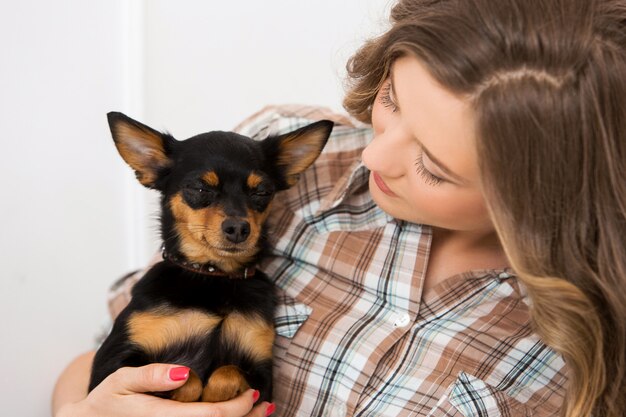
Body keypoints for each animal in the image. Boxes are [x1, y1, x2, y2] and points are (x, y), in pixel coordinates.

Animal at [89, 111, 332, 404]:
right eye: (200, 189)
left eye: (262, 193)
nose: (238, 228)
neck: (214, 274)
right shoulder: (112, 367)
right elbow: (188, 376)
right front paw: (188, 393)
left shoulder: (262, 376)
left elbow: (227, 372)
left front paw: (213, 395)